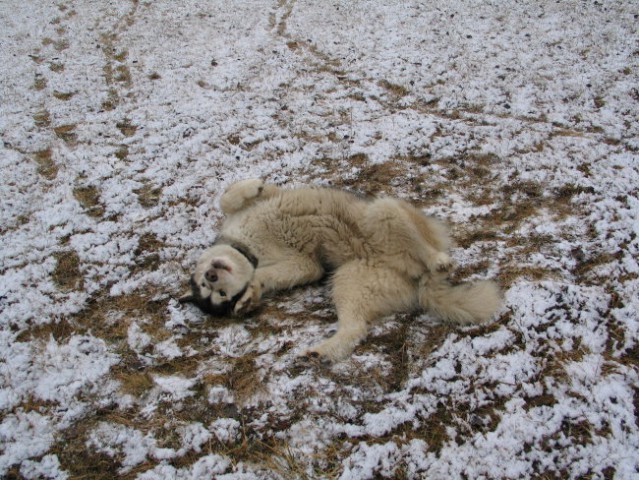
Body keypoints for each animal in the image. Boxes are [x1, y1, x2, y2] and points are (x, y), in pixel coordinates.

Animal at [179, 179, 500, 360]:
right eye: (217, 294)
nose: (211, 275)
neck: (250, 249)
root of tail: (419, 279)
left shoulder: (265, 202)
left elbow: (228, 197)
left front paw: (251, 185)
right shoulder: (304, 265)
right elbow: (270, 275)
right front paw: (249, 297)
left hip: (383, 212)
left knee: (419, 244)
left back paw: (438, 259)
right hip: (349, 279)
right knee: (355, 328)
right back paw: (323, 352)